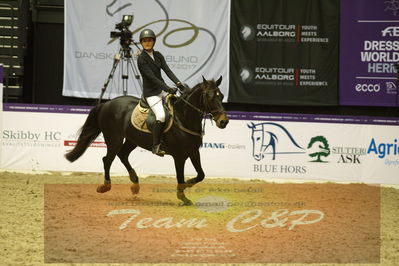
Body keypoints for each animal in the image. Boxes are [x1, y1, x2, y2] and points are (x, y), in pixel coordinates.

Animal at [65, 77, 228, 206]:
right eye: (209, 96)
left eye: (221, 96)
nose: (223, 122)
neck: (183, 118)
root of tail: (106, 103)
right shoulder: (179, 156)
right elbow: (180, 176)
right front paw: (183, 196)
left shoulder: (193, 152)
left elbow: (201, 175)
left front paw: (187, 185)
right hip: (114, 138)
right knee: (108, 159)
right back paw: (105, 187)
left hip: (132, 140)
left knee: (122, 155)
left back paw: (135, 184)